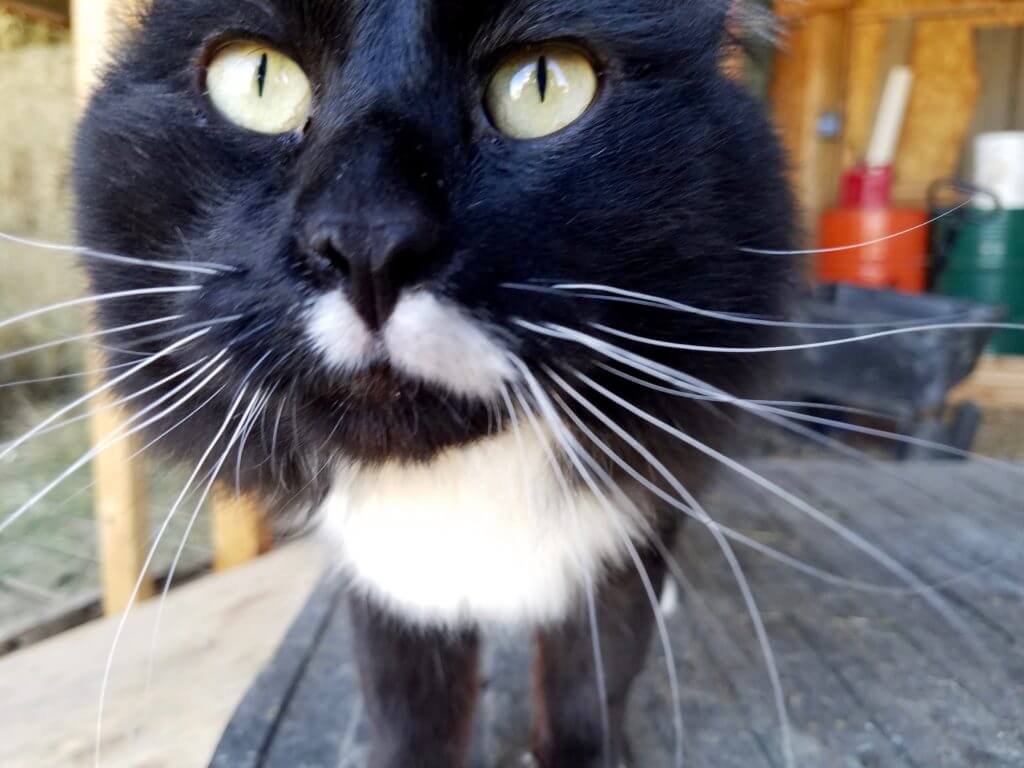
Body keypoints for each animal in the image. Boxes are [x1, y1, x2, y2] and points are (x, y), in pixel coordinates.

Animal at [75, 3, 794, 765]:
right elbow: (409, 710)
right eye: (259, 80)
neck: (462, 487)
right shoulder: (393, 588)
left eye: (545, 84)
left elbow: (588, 690)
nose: (366, 239)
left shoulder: (618, 545)